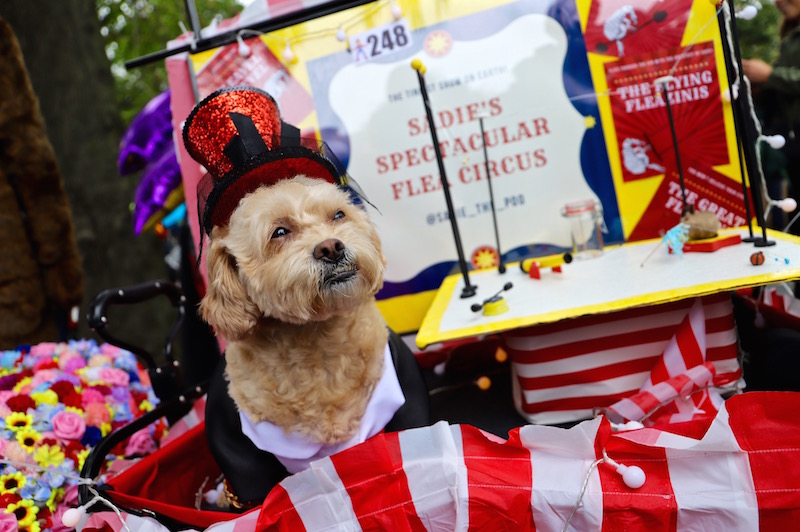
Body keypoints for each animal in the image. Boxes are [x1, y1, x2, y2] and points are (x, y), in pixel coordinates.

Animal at [183, 88, 432, 512]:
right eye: (280, 231)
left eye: (338, 215)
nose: (331, 248)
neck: (316, 342)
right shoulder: (240, 457)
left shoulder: (407, 405)